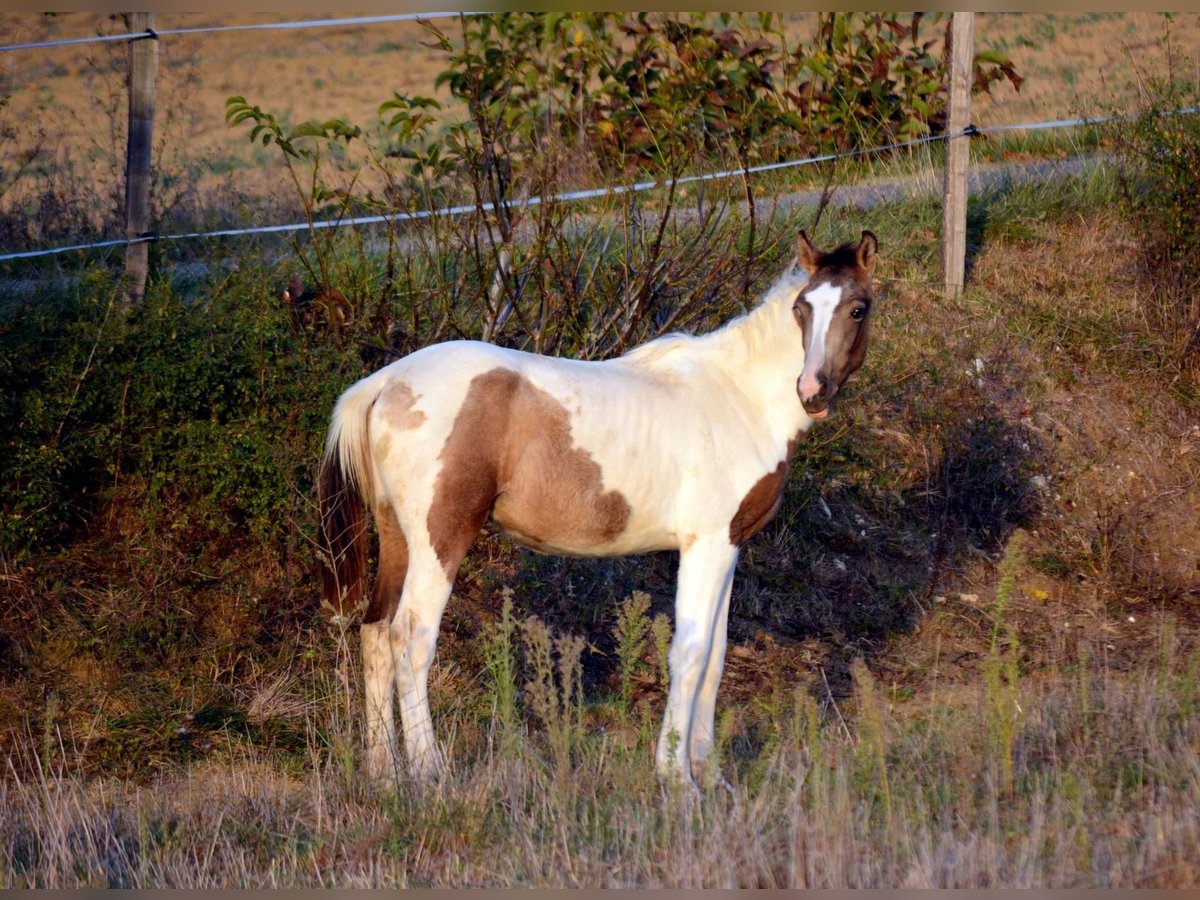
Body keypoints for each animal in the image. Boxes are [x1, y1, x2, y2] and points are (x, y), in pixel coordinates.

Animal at [319, 226, 883, 787]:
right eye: (802, 309)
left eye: (858, 308)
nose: (812, 391)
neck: (739, 397)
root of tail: (386, 382)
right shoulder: (705, 545)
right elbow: (691, 653)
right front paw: (677, 779)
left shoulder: (730, 546)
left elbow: (716, 657)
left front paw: (711, 775)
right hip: (441, 538)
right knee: (411, 639)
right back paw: (430, 774)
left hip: (397, 537)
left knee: (375, 634)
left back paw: (384, 774)